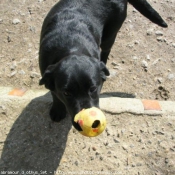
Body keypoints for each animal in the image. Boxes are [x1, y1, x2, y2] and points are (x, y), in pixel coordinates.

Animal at [39, 0, 167, 131]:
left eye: (93, 89)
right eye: (66, 93)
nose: (93, 123)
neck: (71, 47)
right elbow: (55, 94)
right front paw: (58, 110)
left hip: (110, 34)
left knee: (106, 51)